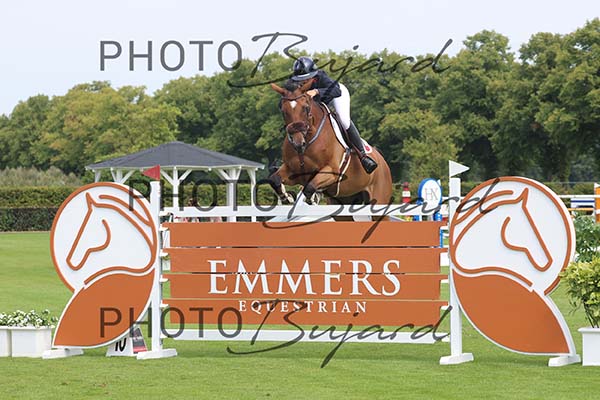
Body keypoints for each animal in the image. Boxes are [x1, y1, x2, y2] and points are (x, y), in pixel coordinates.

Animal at [267, 80, 393, 210]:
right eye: (283, 111)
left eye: (305, 108)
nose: (298, 144)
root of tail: (382, 161)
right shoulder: (292, 171)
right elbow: (274, 180)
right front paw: (287, 197)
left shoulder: (331, 172)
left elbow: (309, 188)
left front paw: (312, 199)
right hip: (345, 199)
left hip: (379, 198)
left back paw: (368, 162)